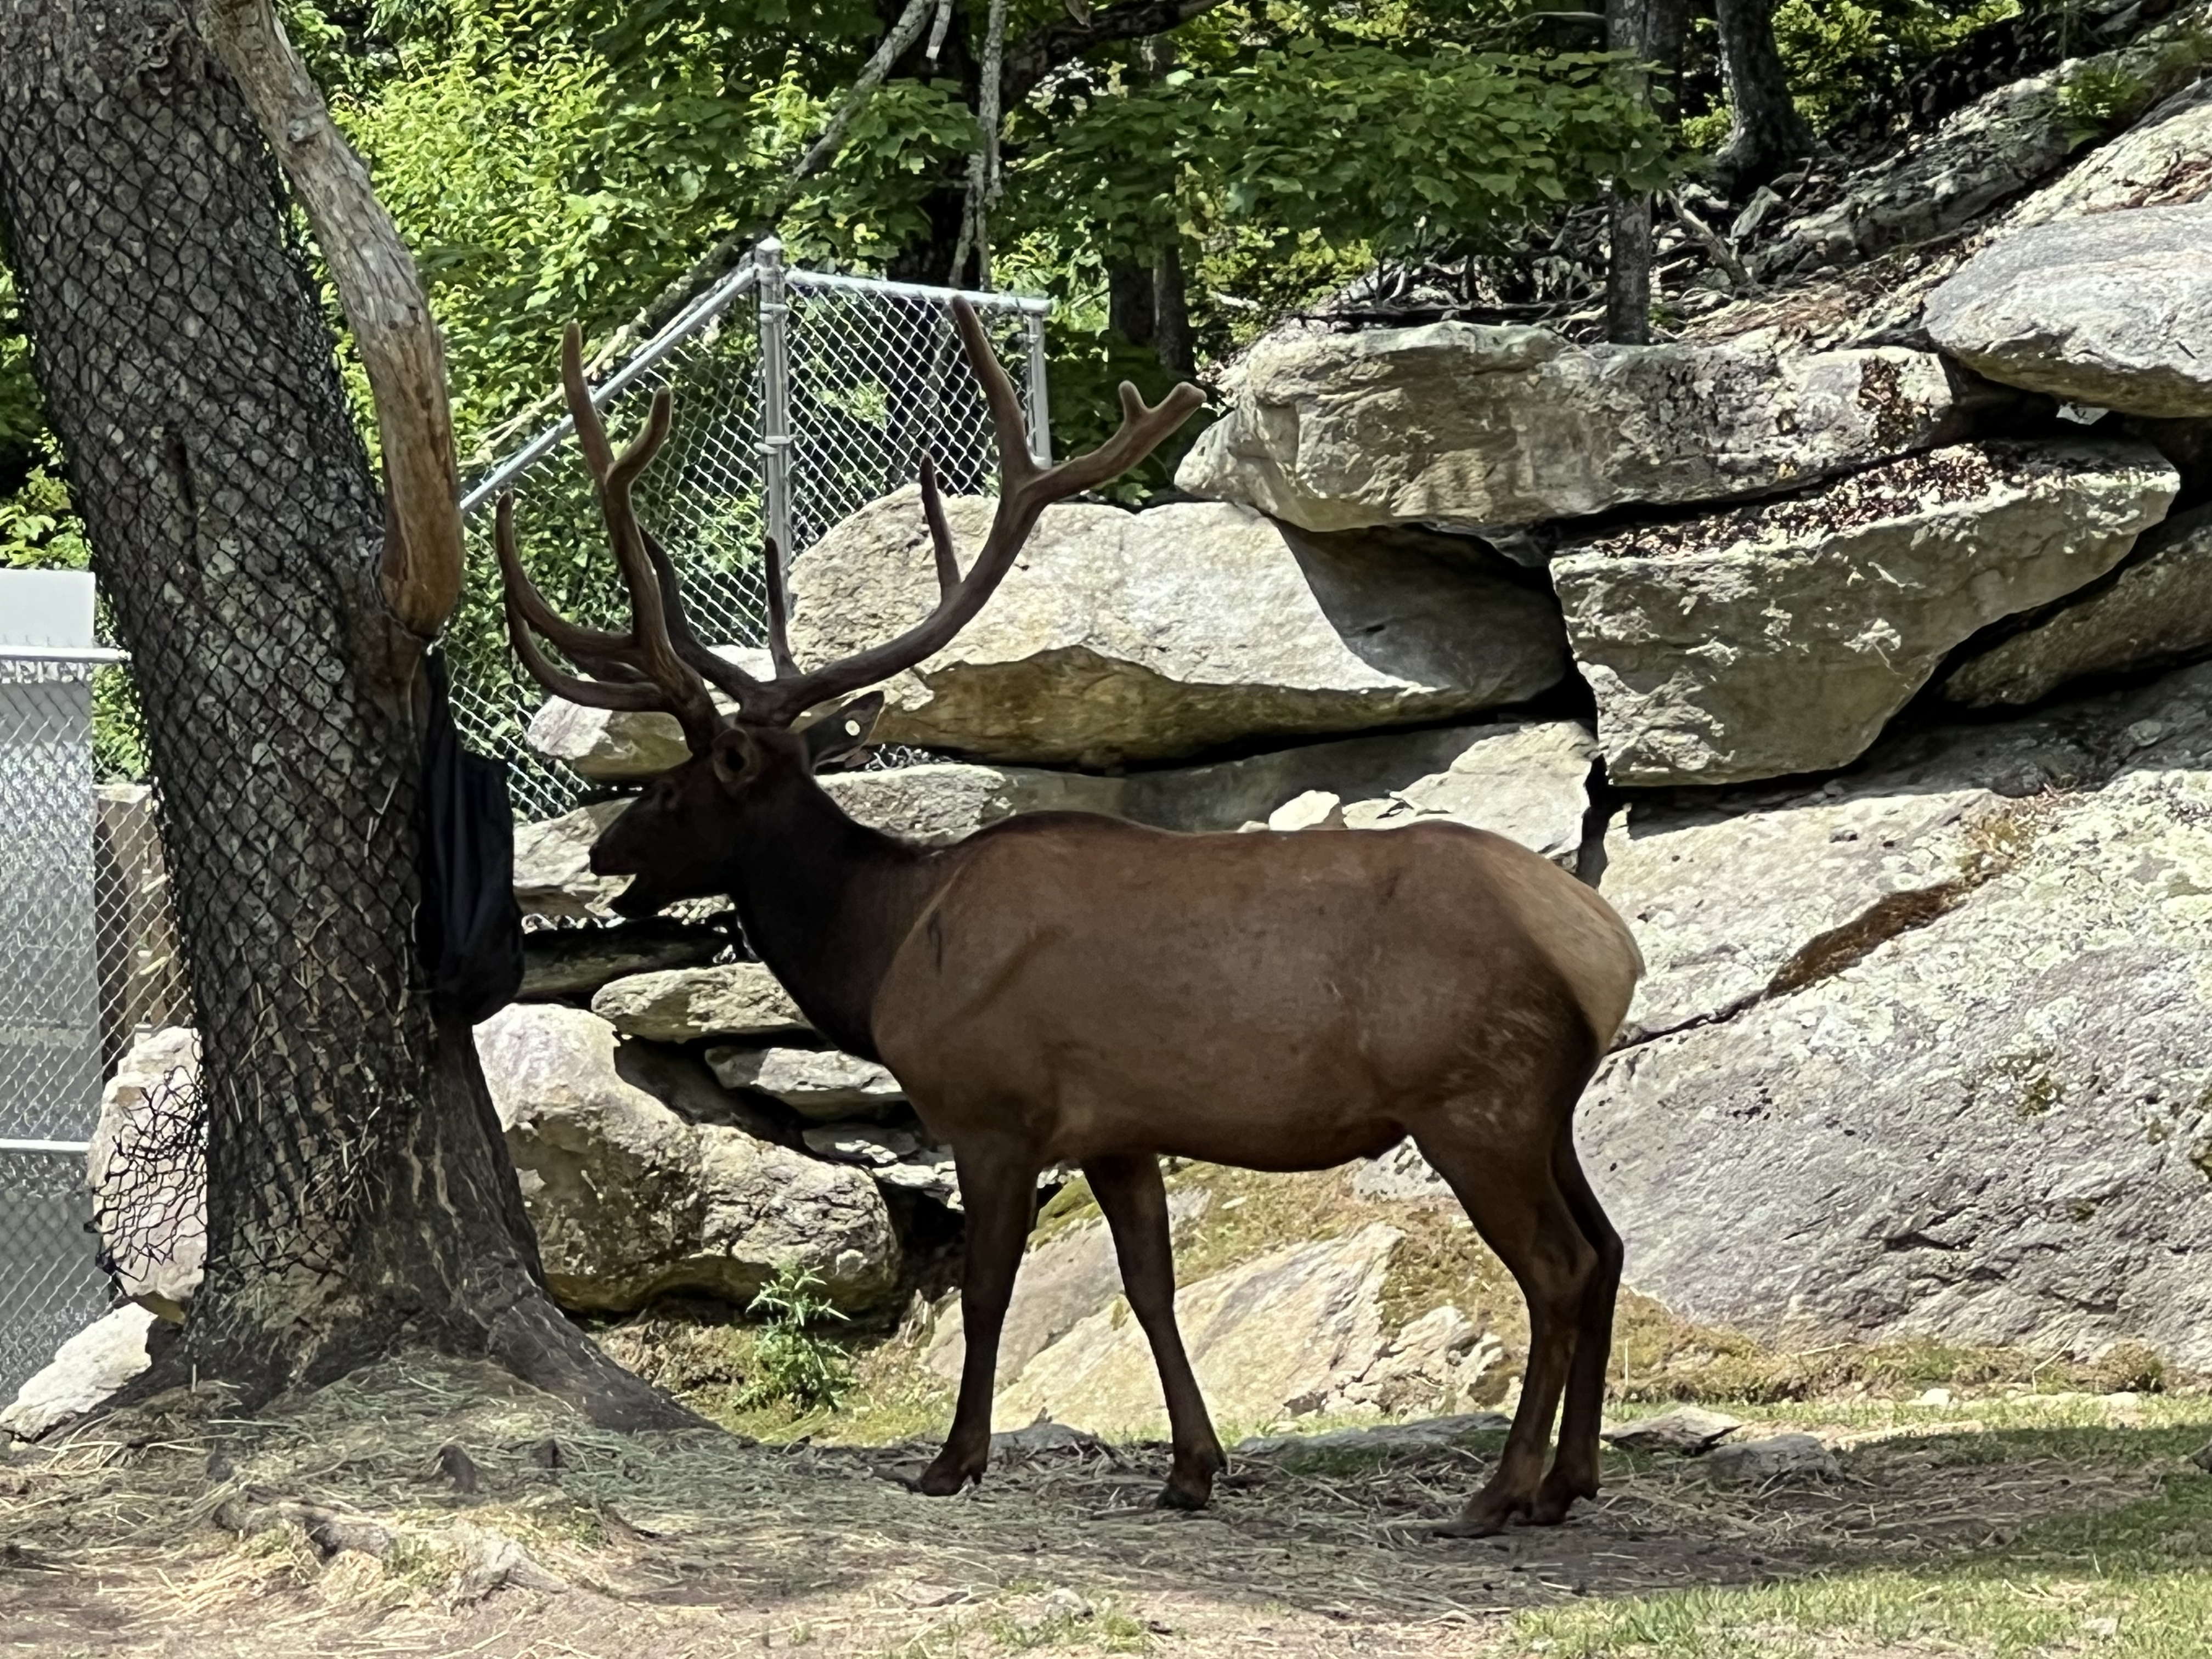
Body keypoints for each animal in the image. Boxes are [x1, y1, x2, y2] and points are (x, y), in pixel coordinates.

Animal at [493, 302, 1645, 1536]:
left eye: (674, 785)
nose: (603, 852)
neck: (886, 949)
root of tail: (1607, 946)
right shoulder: (1120, 1127)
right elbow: (1149, 1285)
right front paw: (1190, 1468)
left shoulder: (996, 1110)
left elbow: (986, 1292)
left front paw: (953, 1458)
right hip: (1542, 1105)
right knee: (1609, 1247)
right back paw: (1569, 1480)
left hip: (1472, 1097)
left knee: (1558, 1268)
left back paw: (1500, 1491)